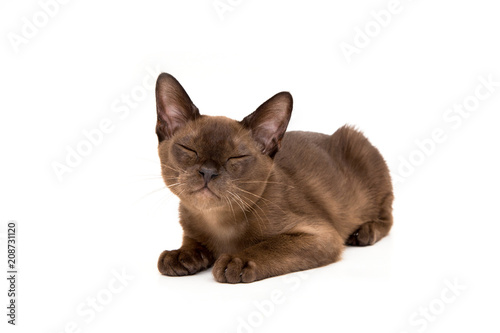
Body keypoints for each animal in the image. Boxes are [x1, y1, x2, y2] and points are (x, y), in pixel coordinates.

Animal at [154, 72, 392, 282]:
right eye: (189, 149)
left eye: (236, 157)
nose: (208, 171)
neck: (218, 222)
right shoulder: (192, 229)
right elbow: (192, 243)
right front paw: (180, 255)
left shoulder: (322, 235)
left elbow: (270, 245)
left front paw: (237, 261)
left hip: (357, 142)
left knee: (387, 216)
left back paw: (364, 232)